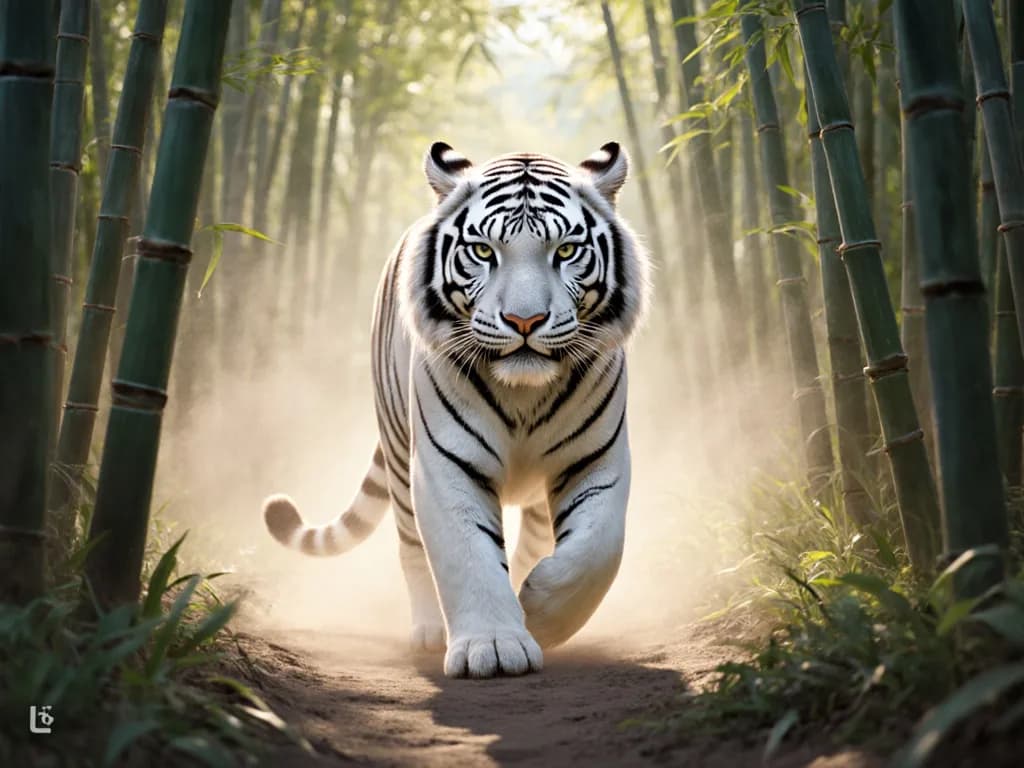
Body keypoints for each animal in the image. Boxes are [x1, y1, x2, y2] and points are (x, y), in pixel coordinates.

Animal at [263, 141, 649, 679]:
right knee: (410, 546)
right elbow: (467, 556)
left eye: (566, 251)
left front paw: (540, 613)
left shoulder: (597, 459)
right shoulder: (446, 464)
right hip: (399, 451)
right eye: (484, 251)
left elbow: (598, 549)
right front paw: (494, 646)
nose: (524, 320)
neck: (524, 391)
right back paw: (429, 630)